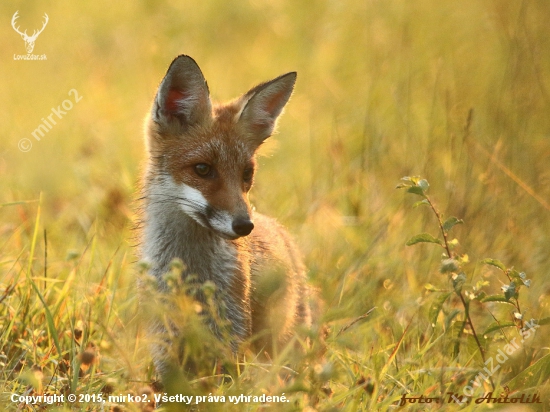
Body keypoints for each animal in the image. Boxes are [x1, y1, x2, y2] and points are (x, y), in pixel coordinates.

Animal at [140, 54, 312, 370]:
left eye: (247, 174)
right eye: (202, 169)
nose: (245, 226)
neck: (192, 272)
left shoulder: (230, 338)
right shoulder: (164, 343)